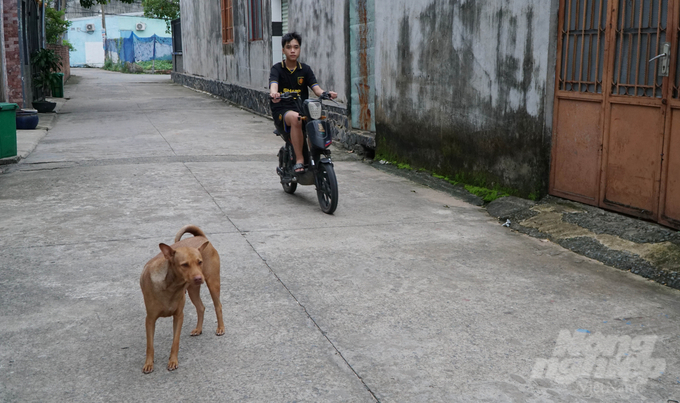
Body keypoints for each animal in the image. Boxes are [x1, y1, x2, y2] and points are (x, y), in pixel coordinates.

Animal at [139, 226, 224, 374]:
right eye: (184, 265)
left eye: (199, 262)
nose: (199, 278)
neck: (171, 286)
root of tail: (200, 237)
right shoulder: (150, 319)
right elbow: (150, 345)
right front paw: (149, 363)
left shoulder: (179, 316)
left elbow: (175, 341)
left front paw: (173, 361)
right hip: (192, 290)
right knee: (201, 307)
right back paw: (198, 329)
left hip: (213, 283)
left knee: (218, 305)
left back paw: (220, 328)